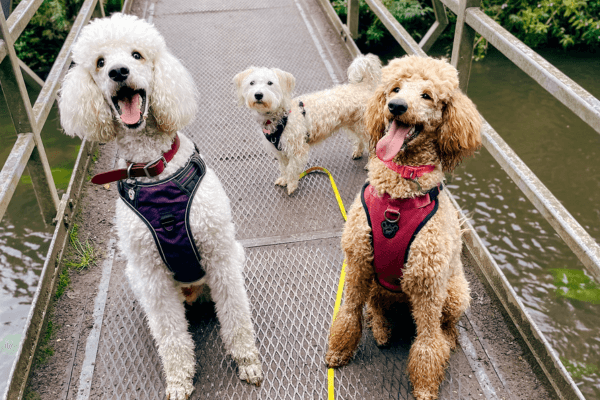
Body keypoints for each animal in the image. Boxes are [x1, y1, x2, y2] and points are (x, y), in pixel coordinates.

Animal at [58, 14, 262, 398]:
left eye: (137, 55)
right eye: (100, 62)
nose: (119, 72)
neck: (154, 168)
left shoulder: (219, 254)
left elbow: (236, 314)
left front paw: (248, 362)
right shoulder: (152, 276)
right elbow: (170, 335)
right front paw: (179, 379)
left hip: (234, 253)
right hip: (136, 276)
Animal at [233, 54, 380, 195]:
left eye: (270, 83)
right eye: (252, 83)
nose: (258, 95)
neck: (280, 116)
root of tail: (363, 86)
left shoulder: (298, 150)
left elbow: (292, 169)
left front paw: (291, 186)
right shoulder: (280, 151)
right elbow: (284, 168)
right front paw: (284, 180)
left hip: (364, 128)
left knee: (373, 145)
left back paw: (371, 164)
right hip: (353, 125)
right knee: (359, 140)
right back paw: (357, 152)